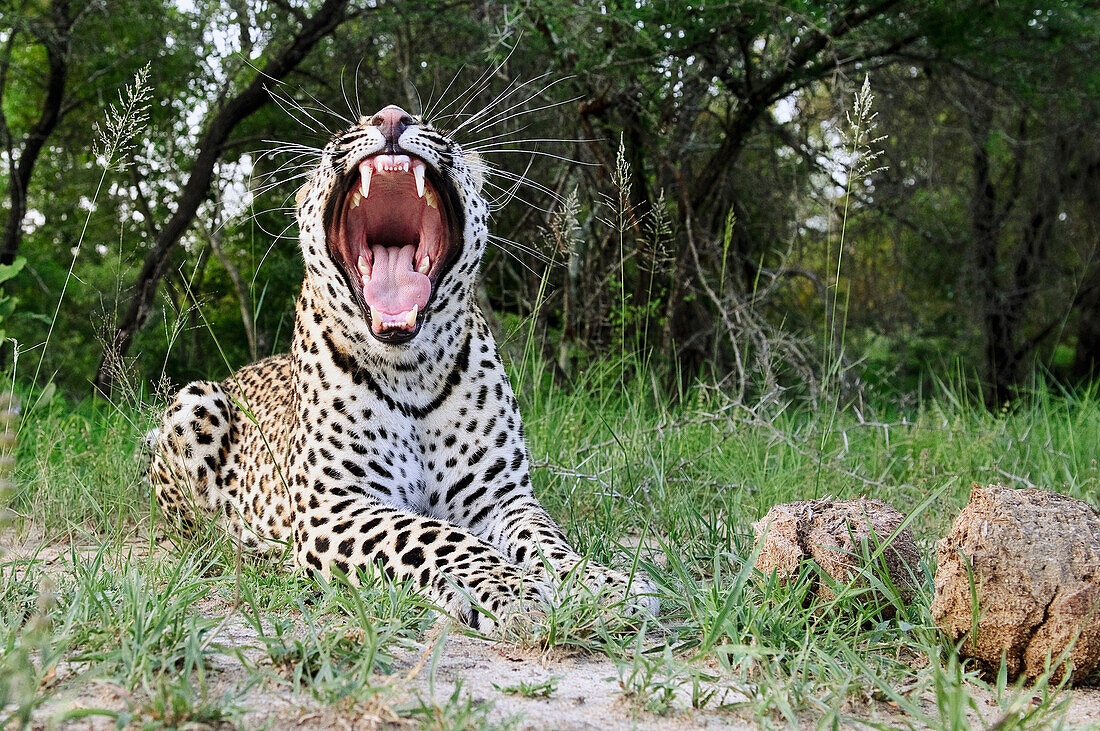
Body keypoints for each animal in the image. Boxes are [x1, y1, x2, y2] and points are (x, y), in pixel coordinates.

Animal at [150, 102, 655, 633]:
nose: (391, 116)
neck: (411, 371)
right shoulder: (336, 505)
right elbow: (435, 535)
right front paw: (515, 591)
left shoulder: (502, 496)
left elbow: (547, 541)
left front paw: (604, 585)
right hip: (193, 403)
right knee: (194, 526)